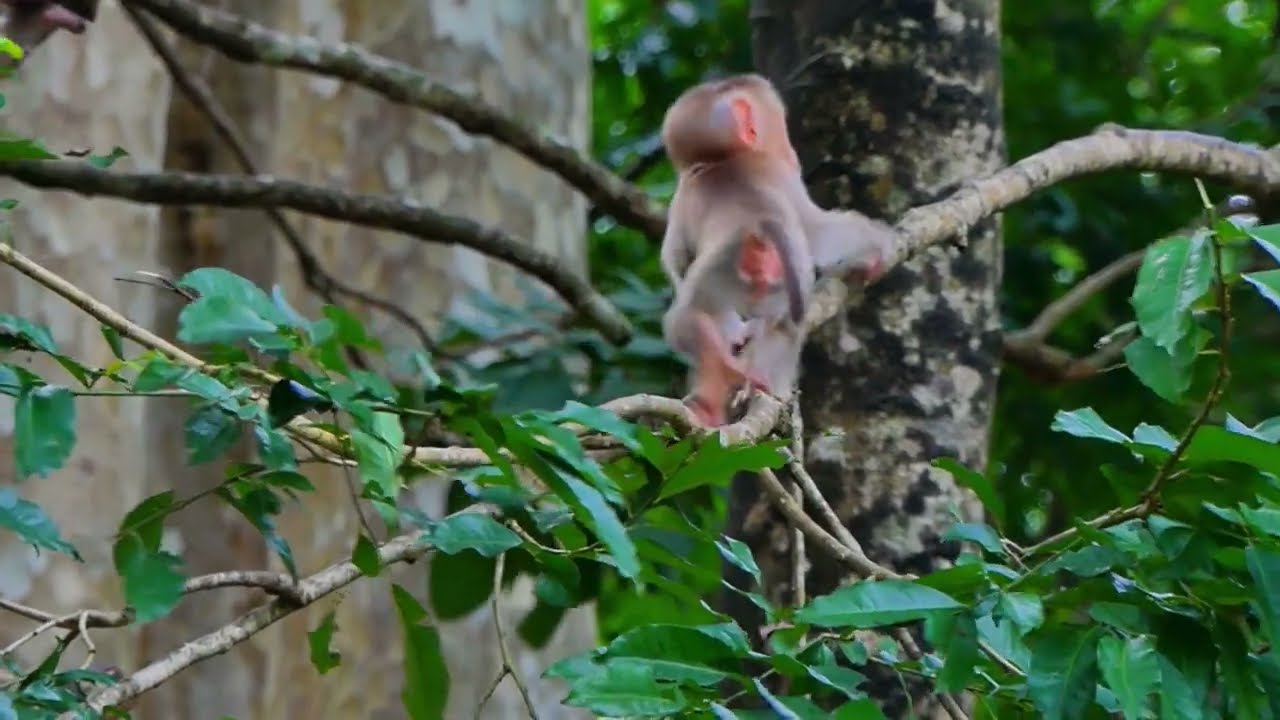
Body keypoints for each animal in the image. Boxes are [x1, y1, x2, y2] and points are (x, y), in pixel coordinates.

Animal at [659, 73, 896, 426]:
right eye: (779, 130)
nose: (792, 153)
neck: (722, 160)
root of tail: (760, 227)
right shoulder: (775, 172)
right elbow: (818, 231)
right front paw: (876, 246)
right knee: (693, 321)